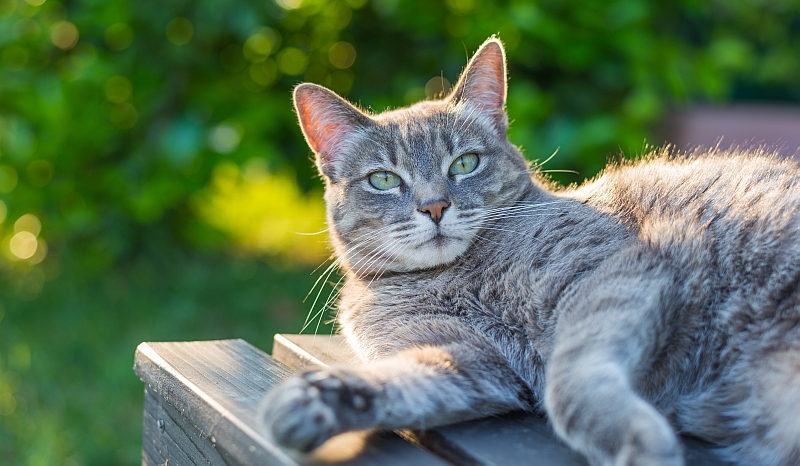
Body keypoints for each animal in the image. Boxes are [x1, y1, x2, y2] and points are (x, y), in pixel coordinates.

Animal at [260, 37, 800, 466]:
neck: (453, 276)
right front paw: (315, 399)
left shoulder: (613, 273)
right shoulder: (467, 359)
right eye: (384, 180)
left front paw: (640, 443)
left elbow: (571, 381)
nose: (434, 206)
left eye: (466, 163)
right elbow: (402, 380)